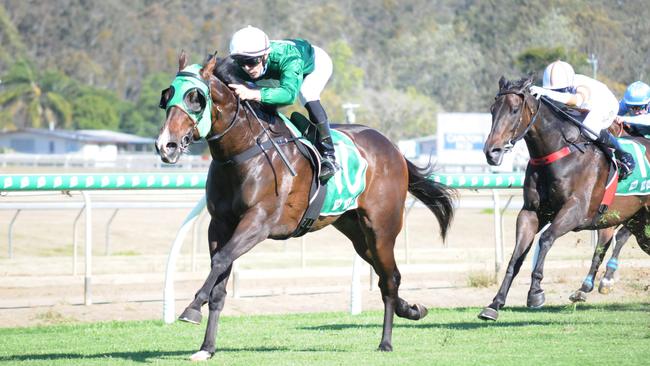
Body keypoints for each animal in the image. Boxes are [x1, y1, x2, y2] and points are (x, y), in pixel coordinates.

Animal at [154, 51, 454, 360]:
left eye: (195, 97)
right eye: (167, 96)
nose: (166, 145)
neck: (244, 152)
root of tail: (393, 148)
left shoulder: (258, 222)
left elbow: (221, 260)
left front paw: (192, 307)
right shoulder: (220, 224)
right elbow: (219, 279)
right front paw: (207, 347)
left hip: (381, 229)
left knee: (390, 278)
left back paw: (386, 341)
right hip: (356, 231)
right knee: (386, 276)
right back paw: (412, 309)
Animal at [476, 76, 648, 322]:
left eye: (515, 109)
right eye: (492, 110)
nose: (492, 152)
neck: (558, 152)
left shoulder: (575, 211)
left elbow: (546, 239)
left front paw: (536, 292)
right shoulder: (531, 212)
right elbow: (516, 256)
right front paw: (495, 304)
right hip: (638, 222)